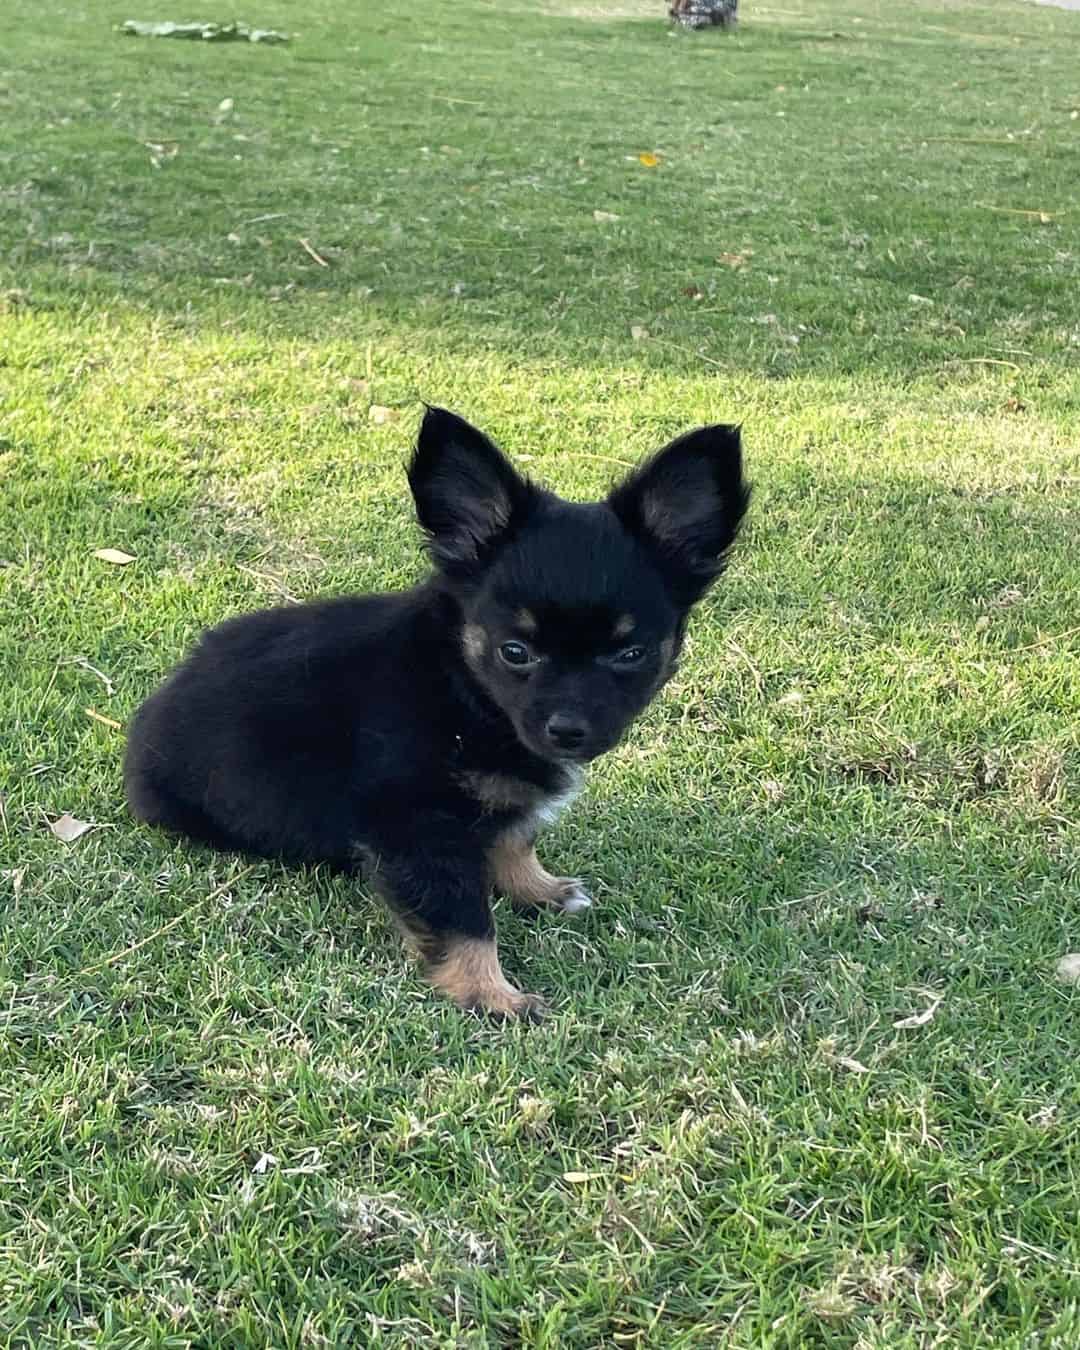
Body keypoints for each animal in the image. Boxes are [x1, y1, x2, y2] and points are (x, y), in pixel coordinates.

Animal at [126, 405, 745, 1015]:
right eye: (515, 651)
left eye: (630, 654)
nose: (568, 731)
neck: (464, 688)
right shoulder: (417, 821)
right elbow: (464, 917)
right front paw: (492, 995)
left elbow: (514, 838)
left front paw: (537, 890)